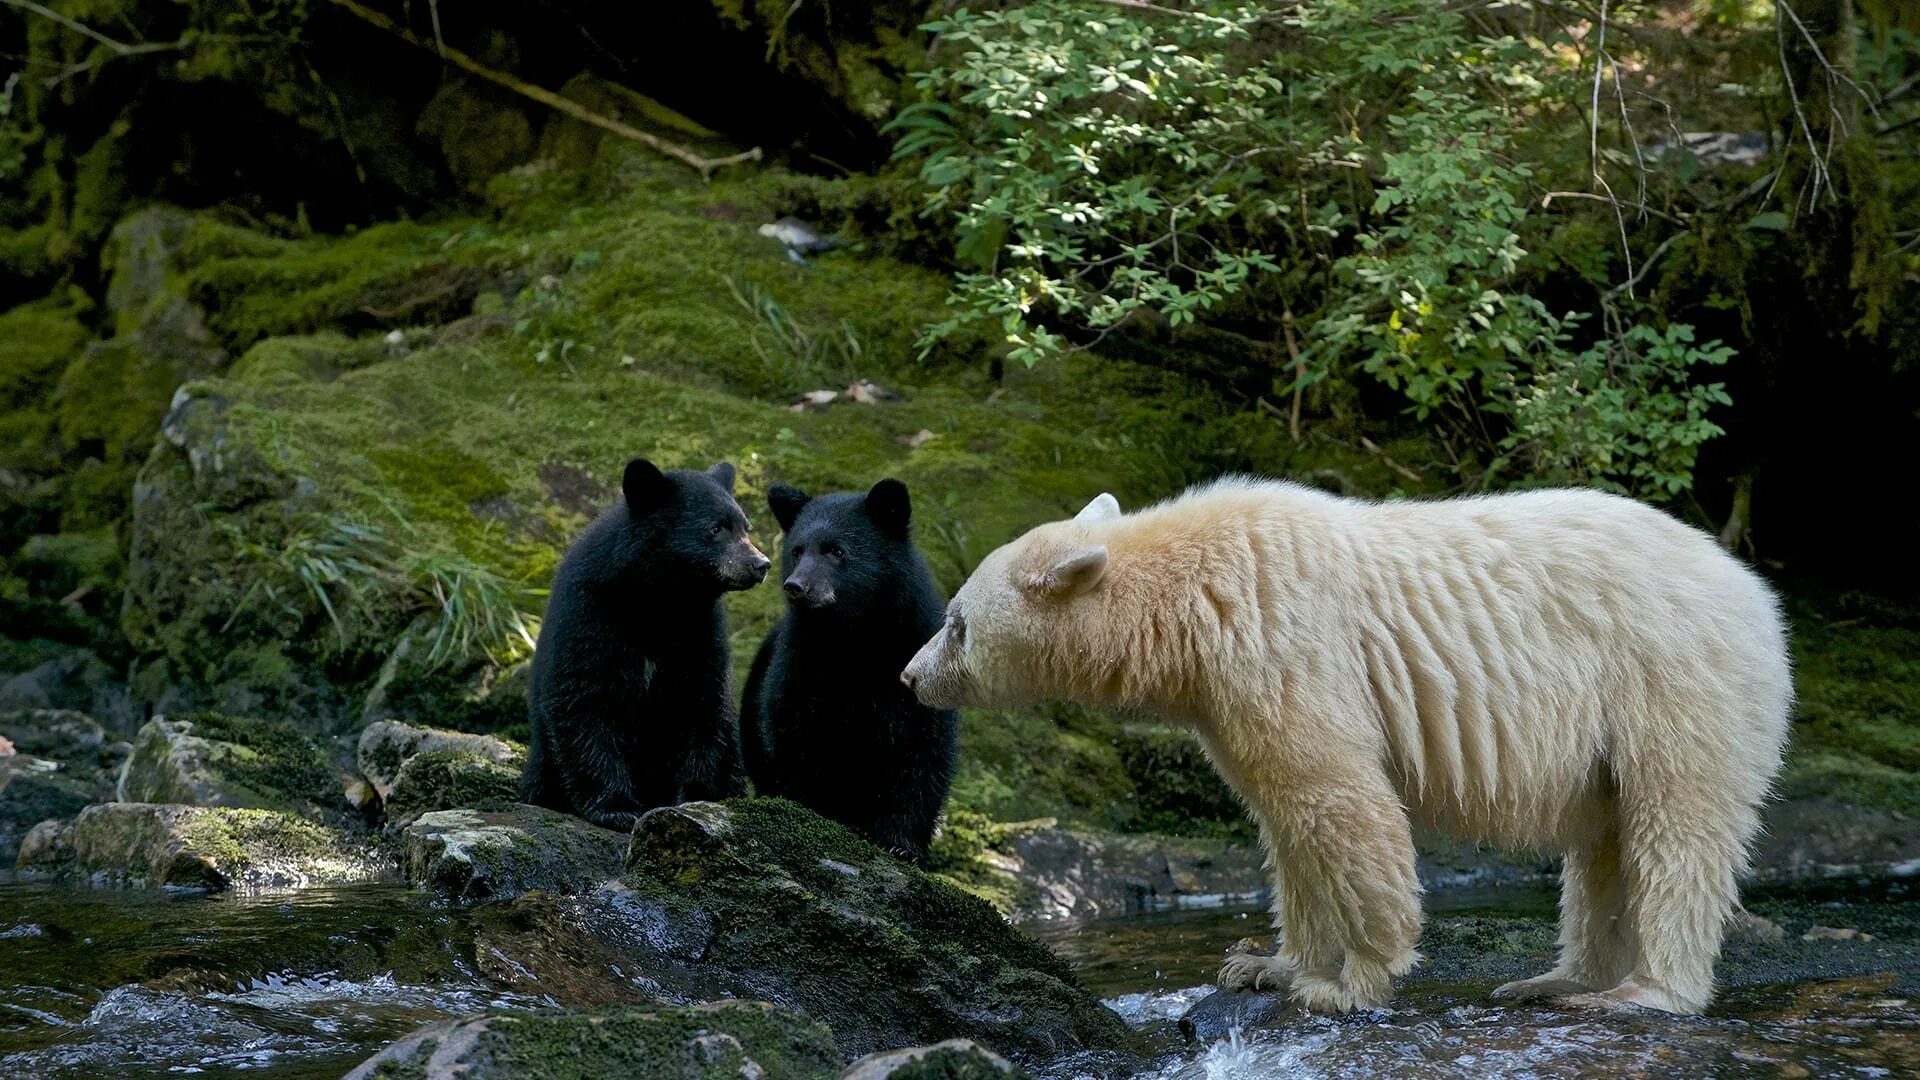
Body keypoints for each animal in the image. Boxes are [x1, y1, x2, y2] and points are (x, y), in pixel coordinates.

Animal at [521, 458, 770, 831]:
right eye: (715, 529)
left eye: (745, 527)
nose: (761, 564)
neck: (656, 601)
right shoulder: (590, 616)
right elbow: (585, 702)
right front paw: (617, 807)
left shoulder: (698, 630)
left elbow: (702, 703)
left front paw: (696, 796)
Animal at [741, 478, 957, 860]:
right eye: (797, 551)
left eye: (836, 551)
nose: (796, 586)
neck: (854, 635)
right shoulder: (803, 656)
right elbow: (795, 727)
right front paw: (814, 813)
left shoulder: (913, 654)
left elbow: (922, 748)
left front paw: (902, 844)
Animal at [901, 480, 1792, 1016]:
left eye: (956, 621)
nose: (909, 676)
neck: (1192, 594)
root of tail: (1753, 589)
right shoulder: (1227, 697)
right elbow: (1285, 819)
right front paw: (1268, 965)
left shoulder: (1280, 646)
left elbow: (1340, 798)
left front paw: (1353, 983)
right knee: (1603, 842)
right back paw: (1556, 977)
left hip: (1671, 677)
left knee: (1676, 826)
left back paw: (1642, 992)